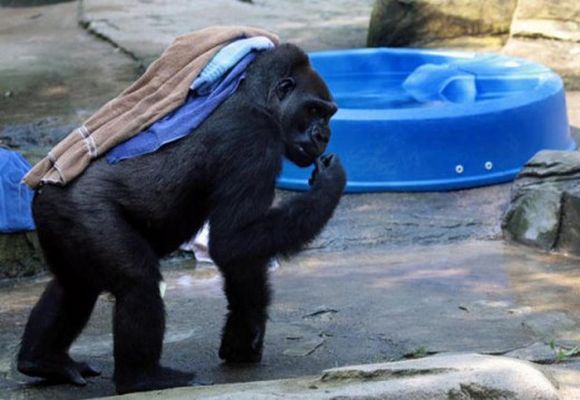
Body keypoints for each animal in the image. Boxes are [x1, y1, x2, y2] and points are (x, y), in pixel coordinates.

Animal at [17, 43, 344, 394]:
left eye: (328, 114)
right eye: (313, 110)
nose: (324, 135)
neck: (257, 100)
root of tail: (47, 181)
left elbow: (242, 258)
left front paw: (244, 334)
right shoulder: (253, 139)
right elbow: (233, 240)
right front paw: (330, 183)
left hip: (56, 220)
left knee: (75, 286)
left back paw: (43, 361)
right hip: (80, 212)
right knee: (137, 280)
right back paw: (142, 378)